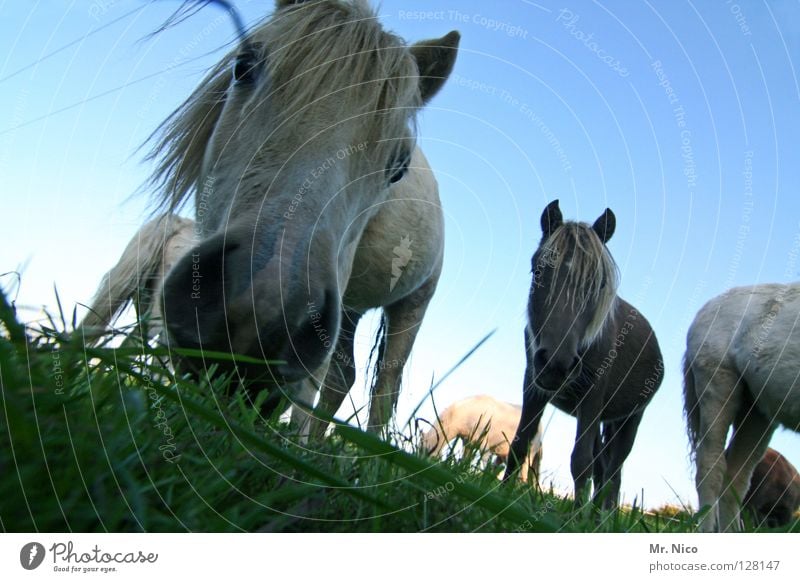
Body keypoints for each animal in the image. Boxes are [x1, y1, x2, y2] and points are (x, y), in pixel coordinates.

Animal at [504, 202, 664, 512]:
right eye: (538, 271)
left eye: (599, 285)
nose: (557, 364)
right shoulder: (534, 385)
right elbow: (519, 444)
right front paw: (497, 495)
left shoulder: (592, 396)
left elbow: (580, 462)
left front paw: (576, 517)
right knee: (603, 470)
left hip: (628, 420)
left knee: (613, 473)